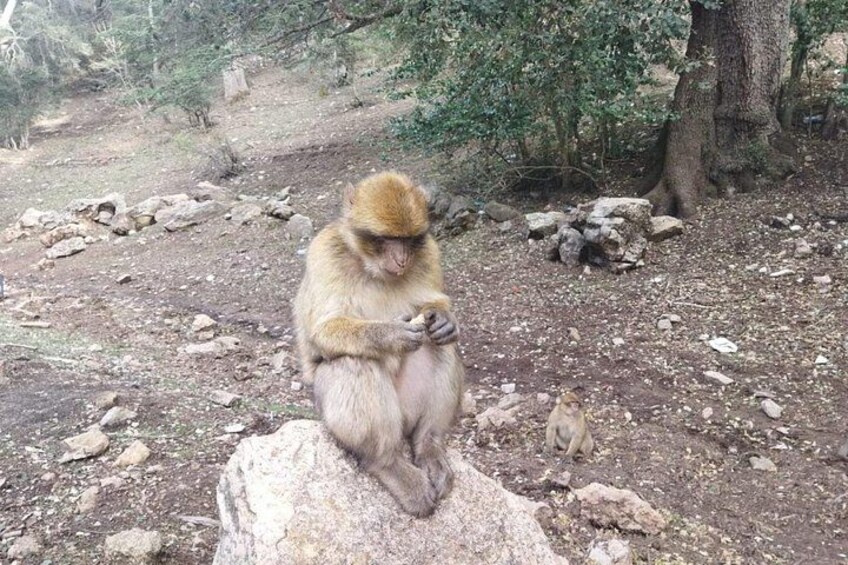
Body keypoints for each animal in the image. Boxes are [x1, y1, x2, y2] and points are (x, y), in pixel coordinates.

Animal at [293, 171, 464, 518]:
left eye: (408, 240)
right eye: (386, 239)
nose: (401, 259)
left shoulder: (429, 253)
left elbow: (435, 305)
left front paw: (444, 319)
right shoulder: (324, 254)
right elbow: (323, 331)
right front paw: (391, 334)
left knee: (440, 347)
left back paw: (429, 445)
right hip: (332, 412)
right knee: (354, 361)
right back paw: (387, 463)